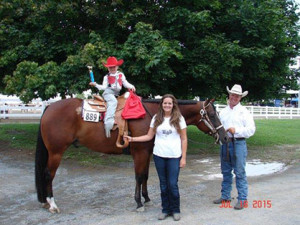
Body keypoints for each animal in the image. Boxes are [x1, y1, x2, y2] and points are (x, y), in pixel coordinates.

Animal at [34, 97, 227, 213]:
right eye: (211, 114)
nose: (225, 136)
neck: (151, 115)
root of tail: (50, 106)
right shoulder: (140, 153)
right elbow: (139, 176)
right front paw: (139, 202)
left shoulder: (147, 152)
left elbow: (146, 176)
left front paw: (146, 198)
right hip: (56, 152)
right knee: (48, 174)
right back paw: (52, 204)